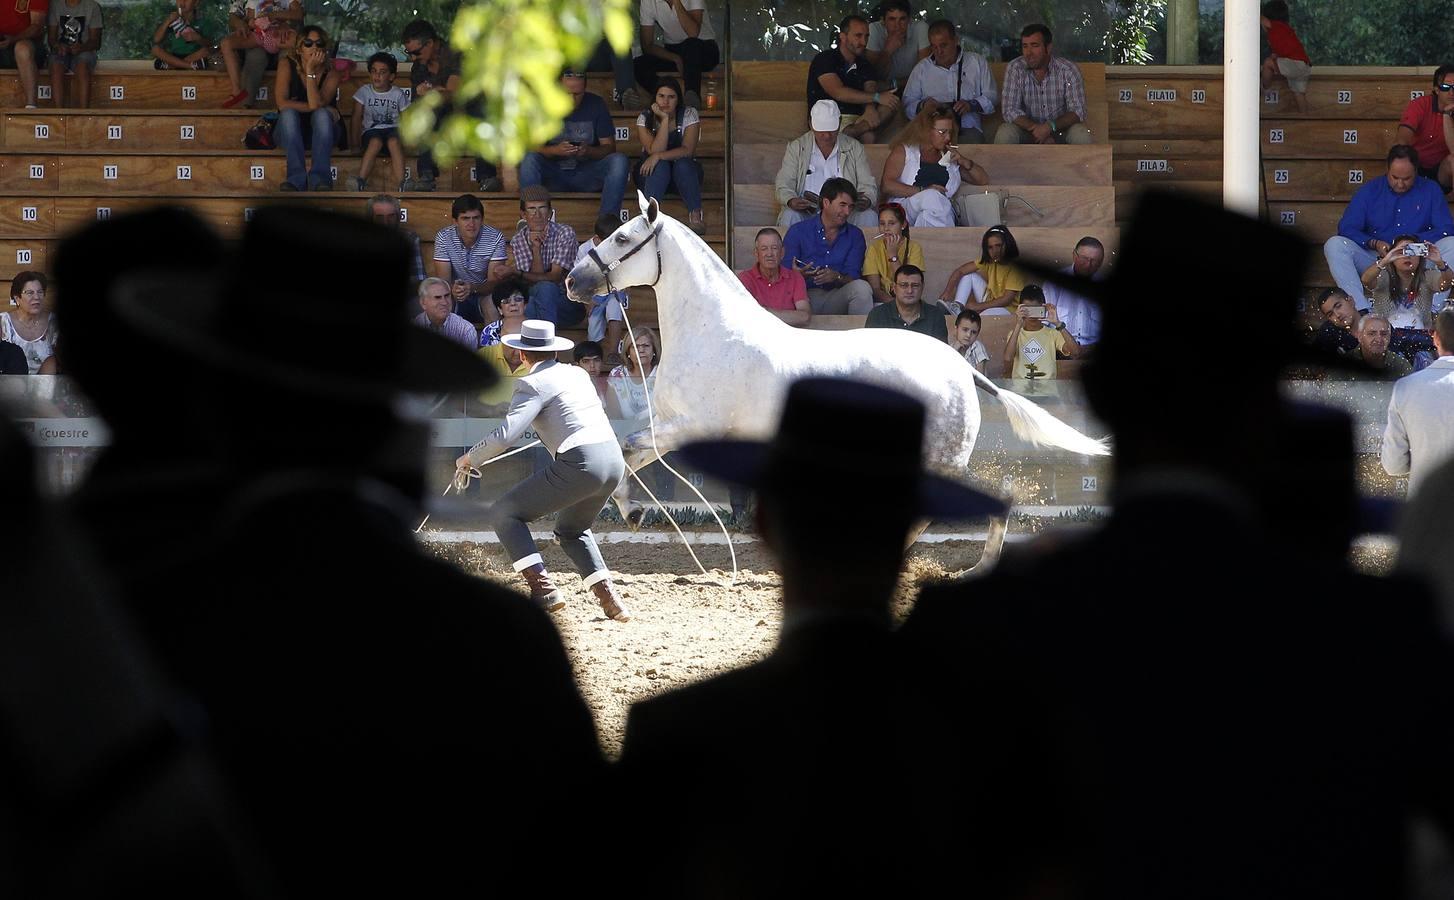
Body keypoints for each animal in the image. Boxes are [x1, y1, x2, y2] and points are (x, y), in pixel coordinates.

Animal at [561, 194, 1105, 549]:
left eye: (623, 237)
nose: (573, 281)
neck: (712, 331)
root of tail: (958, 366)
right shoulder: (673, 424)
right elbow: (627, 450)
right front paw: (630, 512)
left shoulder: (693, 426)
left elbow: (628, 448)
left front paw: (631, 512)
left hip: (940, 459)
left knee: (983, 502)